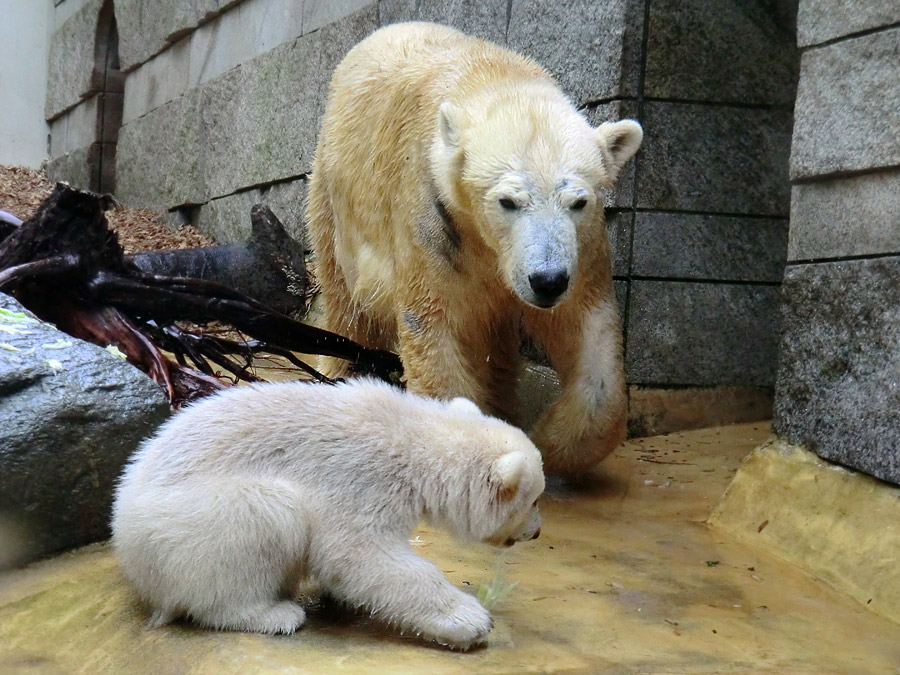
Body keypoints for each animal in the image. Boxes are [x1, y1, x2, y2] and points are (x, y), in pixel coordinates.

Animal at [310, 22, 640, 476]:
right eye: (508, 201)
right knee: (344, 298)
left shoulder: (582, 246)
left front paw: (549, 442)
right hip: (332, 194)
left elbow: (587, 325)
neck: (494, 79)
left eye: (578, 201)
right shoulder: (433, 219)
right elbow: (436, 326)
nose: (547, 281)